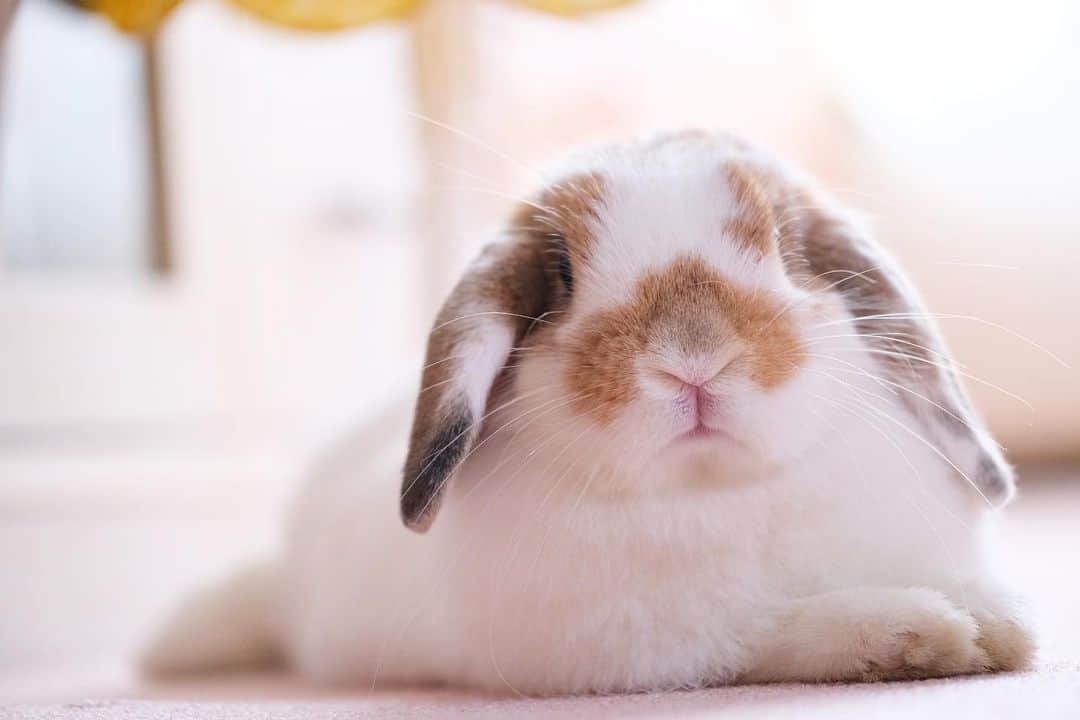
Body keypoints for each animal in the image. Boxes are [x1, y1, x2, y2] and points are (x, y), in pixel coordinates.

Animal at [141, 131, 1034, 695]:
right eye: (563, 273)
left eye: (785, 243)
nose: (692, 356)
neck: (718, 490)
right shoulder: (662, 646)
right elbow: (789, 629)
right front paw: (941, 632)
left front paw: (1003, 620)